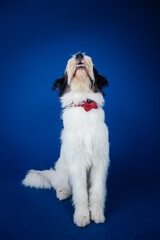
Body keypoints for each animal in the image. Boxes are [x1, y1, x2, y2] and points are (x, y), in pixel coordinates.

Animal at [22, 52, 109, 227]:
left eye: (91, 61)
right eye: (68, 63)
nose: (79, 54)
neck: (84, 103)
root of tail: (54, 172)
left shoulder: (99, 161)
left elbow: (97, 191)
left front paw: (97, 214)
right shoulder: (76, 163)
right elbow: (80, 194)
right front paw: (82, 217)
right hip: (64, 173)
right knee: (60, 185)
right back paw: (63, 193)